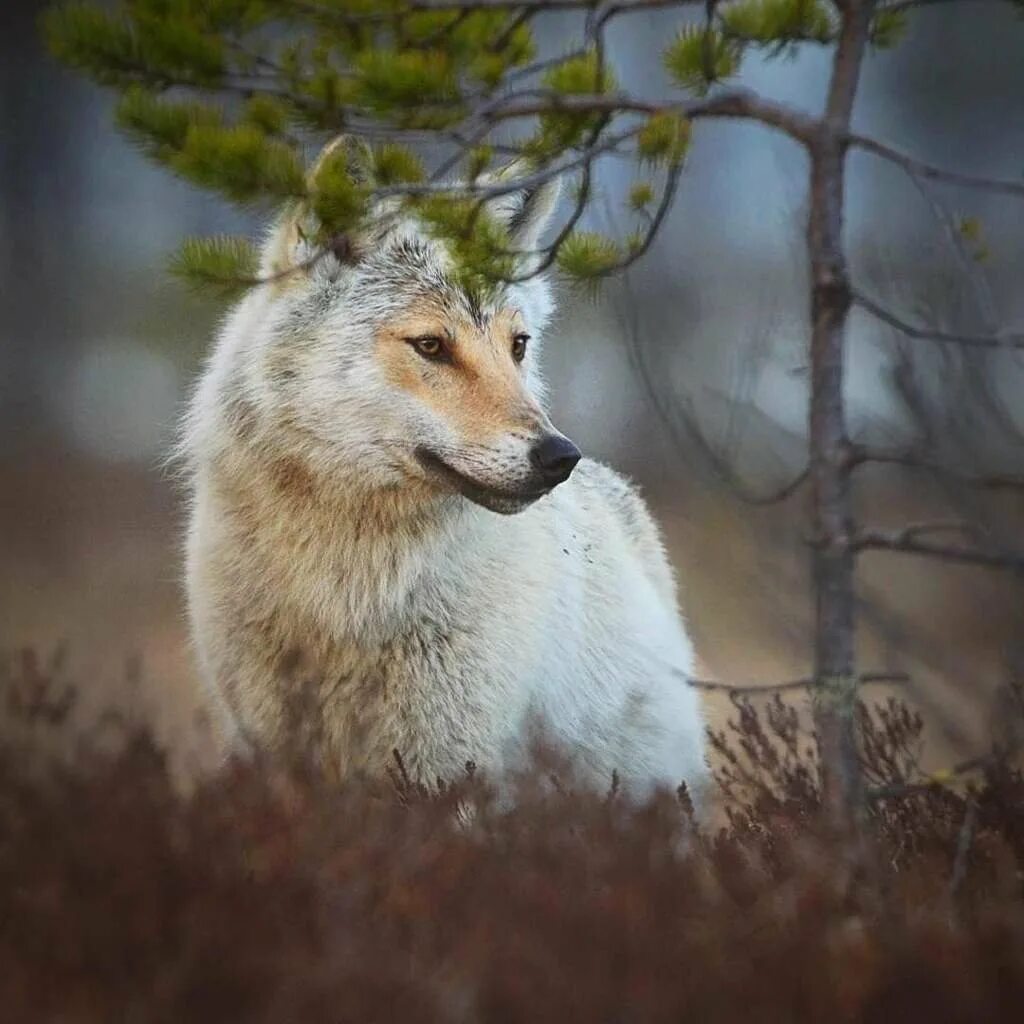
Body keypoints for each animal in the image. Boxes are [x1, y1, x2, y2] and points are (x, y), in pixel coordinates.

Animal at [182, 148, 704, 794]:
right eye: (431, 346)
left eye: (518, 345)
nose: (559, 456)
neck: (349, 591)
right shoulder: (273, 750)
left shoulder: (445, 765)